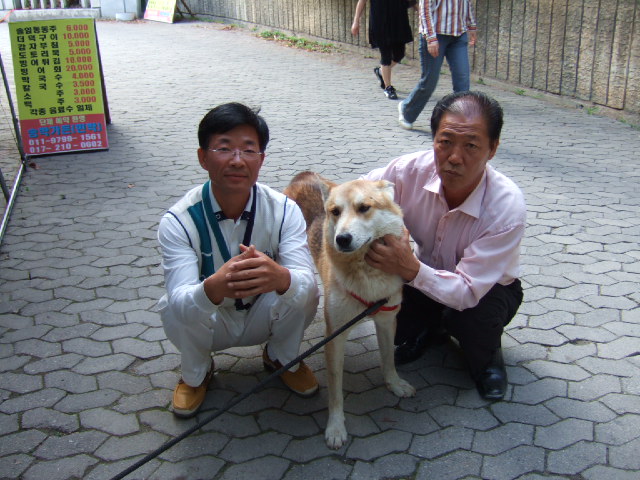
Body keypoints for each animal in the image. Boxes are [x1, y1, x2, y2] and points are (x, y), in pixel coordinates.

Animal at [284, 171, 416, 449]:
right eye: (335, 212)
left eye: (364, 207)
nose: (342, 239)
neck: (366, 275)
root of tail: (305, 175)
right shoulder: (334, 335)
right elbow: (335, 391)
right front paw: (335, 427)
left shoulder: (387, 320)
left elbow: (388, 359)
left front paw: (394, 384)